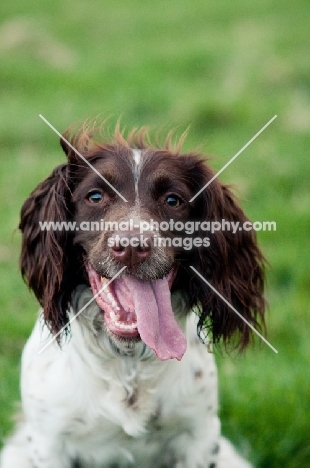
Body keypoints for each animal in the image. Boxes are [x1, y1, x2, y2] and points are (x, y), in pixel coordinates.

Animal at [1, 122, 266, 466]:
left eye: (173, 200)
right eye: (95, 196)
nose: (130, 247)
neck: (128, 360)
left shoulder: (200, 435)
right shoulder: (49, 442)